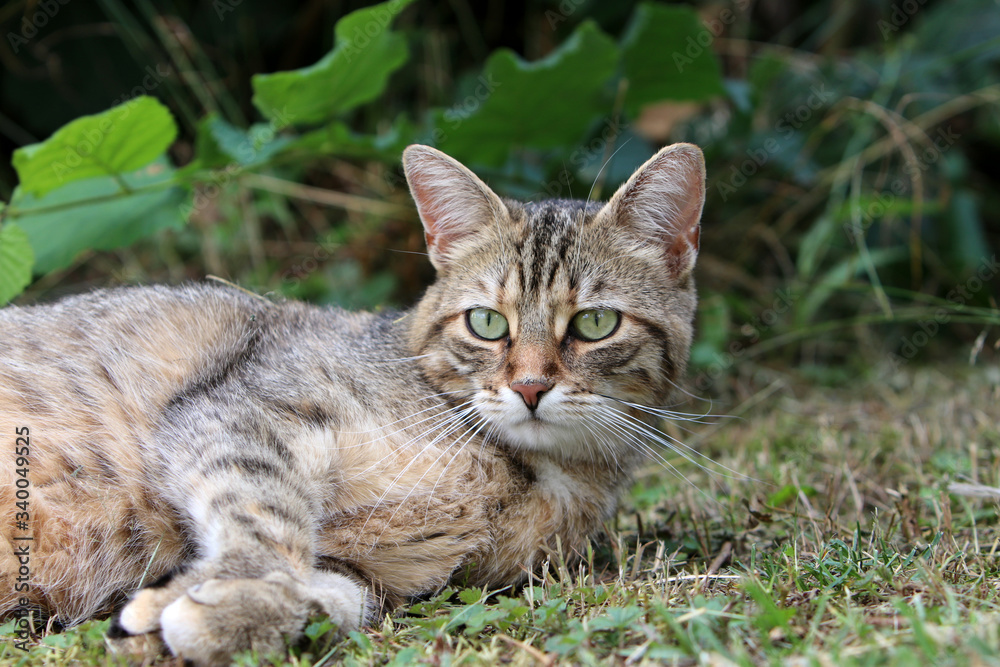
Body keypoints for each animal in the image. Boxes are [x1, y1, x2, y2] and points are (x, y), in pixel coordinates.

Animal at [1, 141, 704, 664]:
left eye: (594, 324)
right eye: (486, 323)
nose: (530, 387)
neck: (529, 472)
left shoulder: (383, 575)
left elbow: (335, 596)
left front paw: (223, 613)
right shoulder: (243, 410)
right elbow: (265, 517)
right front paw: (227, 594)